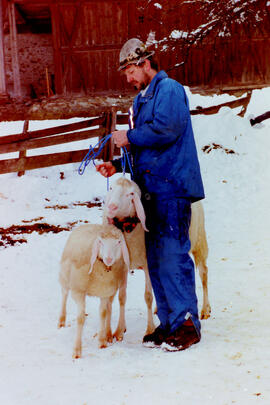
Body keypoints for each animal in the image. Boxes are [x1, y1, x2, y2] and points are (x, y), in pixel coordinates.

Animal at [57, 223, 130, 358]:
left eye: (118, 242)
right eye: (100, 242)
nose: (109, 258)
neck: (104, 268)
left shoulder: (105, 291)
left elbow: (103, 313)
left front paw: (102, 342)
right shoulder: (78, 292)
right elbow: (80, 318)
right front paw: (77, 350)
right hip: (65, 277)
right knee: (64, 295)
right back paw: (61, 321)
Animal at [103, 177, 211, 332]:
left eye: (131, 194)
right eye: (111, 188)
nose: (111, 207)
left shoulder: (148, 264)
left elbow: (148, 296)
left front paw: (150, 329)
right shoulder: (123, 266)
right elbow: (122, 297)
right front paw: (119, 330)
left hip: (199, 241)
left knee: (203, 273)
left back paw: (205, 309)